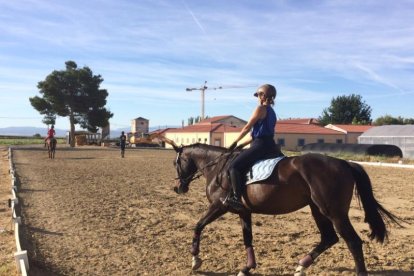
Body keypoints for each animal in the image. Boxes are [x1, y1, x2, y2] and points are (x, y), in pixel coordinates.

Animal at [164, 140, 402, 276]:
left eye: (177, 163)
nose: (178, 187)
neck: (218, 168)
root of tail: (344, 162)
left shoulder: (218, 206)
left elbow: (198, 225)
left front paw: (195, 260)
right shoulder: (244, 211)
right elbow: (247, 239)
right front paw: (247, 268)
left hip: (333, 212)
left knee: (352, 242)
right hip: (317, 209)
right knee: (329, 238)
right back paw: (302, 265)